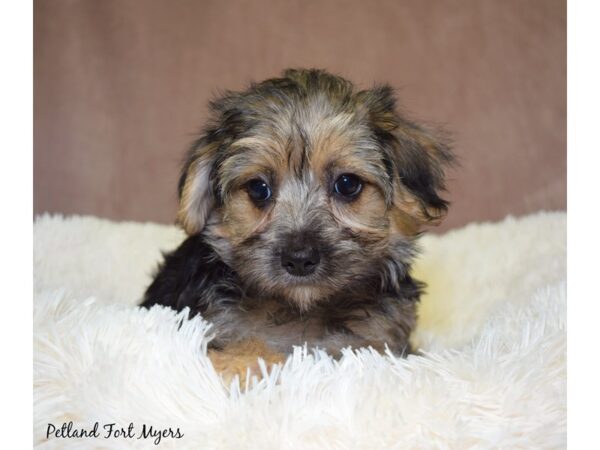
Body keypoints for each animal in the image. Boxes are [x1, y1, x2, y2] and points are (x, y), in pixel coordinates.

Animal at [139, 67, 450, 376]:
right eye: (258, 188)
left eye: (347, 184)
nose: (300, 259)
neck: (303, 309)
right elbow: (247, 347)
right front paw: (246, 366)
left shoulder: (381, 341)